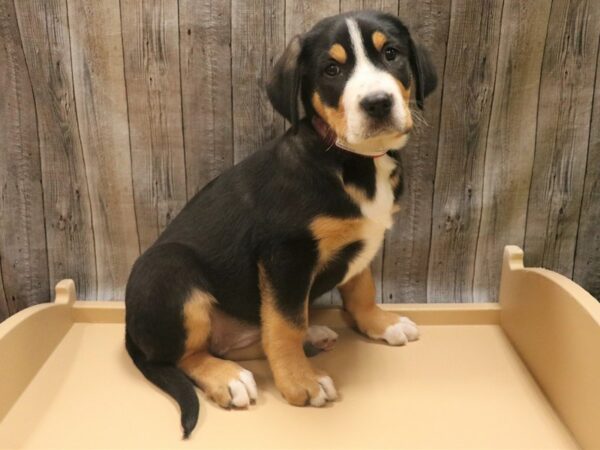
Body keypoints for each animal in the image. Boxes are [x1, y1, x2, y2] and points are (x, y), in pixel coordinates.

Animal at [125, 10, 436, 438]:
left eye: (391, 54)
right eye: (332, 69)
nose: (377, 103)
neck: (351, 160)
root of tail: (130, 330)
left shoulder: (360, 243)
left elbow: (361, 289)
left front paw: (381, 323)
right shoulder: (286, 255)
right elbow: (285, 323)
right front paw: (299, 382)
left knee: (240, 339)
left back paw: (313, 336)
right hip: (167, 269)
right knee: (184, 355)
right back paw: (228, 377)